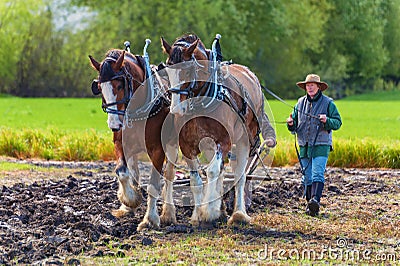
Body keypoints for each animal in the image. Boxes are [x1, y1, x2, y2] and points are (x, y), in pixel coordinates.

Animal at [89, 48, 177, 231]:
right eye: (99, 87)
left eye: (120, 85)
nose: (114, 124)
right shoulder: (121, 144)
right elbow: (122, 172)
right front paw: (130, 201)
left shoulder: (157, 149)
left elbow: (153, 184)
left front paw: (150, 219)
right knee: (135, 172)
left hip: (173, 144)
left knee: (170, 175)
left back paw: (168, 213)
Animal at [161, 34, 264, 227]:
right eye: (168, 69)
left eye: (188, 71)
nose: (176, 109)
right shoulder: (187, 145)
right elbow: (197, 179)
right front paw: (198, 215)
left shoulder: (224, 141)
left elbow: (213, 172)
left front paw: (208, 211)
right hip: (209, 145)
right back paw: (221, 209)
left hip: (245, 140)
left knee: (240, 175)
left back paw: (238, 213)